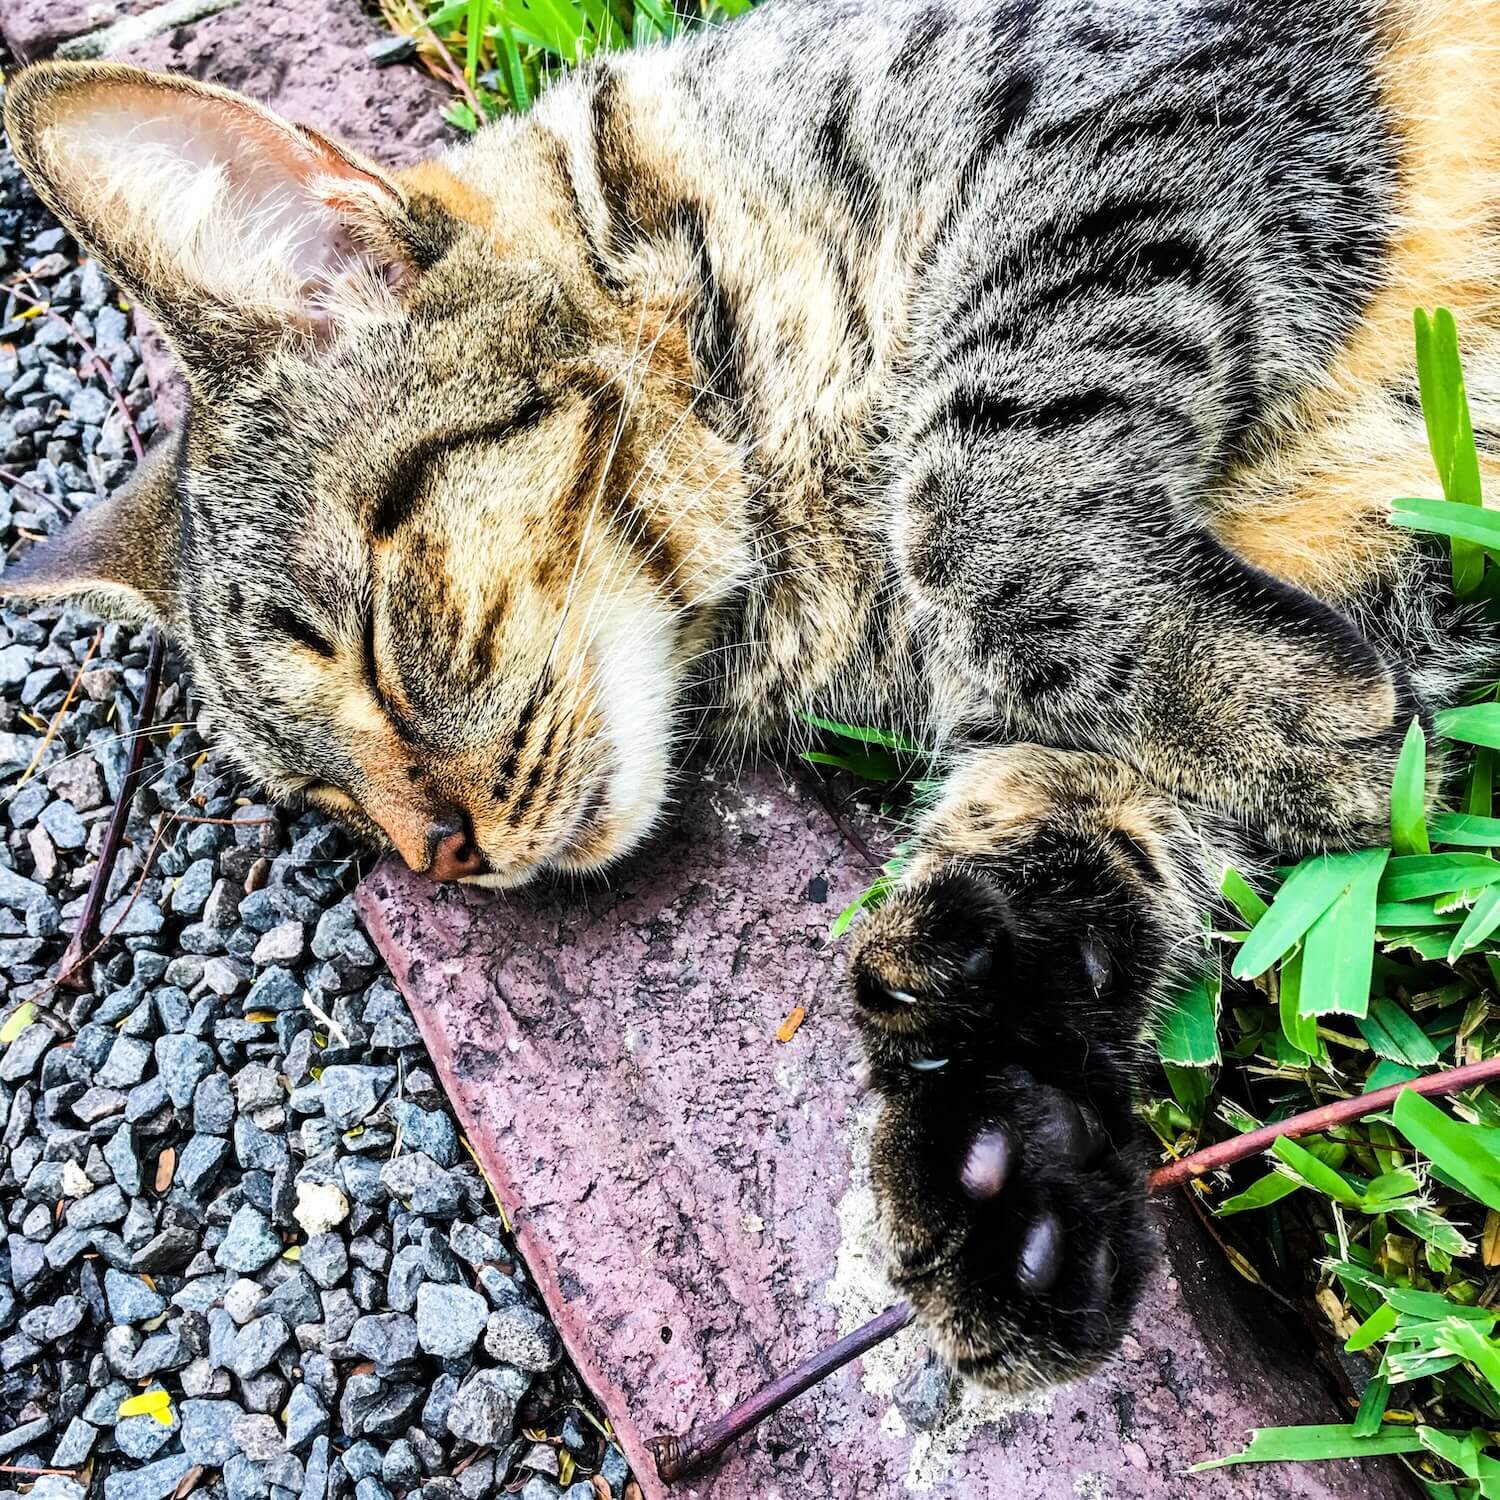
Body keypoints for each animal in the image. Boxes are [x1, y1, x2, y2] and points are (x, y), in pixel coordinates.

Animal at [2, 0, 1500, 1392]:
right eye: (324, 794)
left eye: (367, 643)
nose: (441, 857)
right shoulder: (1207, 664)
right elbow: (1044, 854)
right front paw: (1001, 1153)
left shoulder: (1147, 98)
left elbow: (976, 494)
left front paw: (1297, 717)